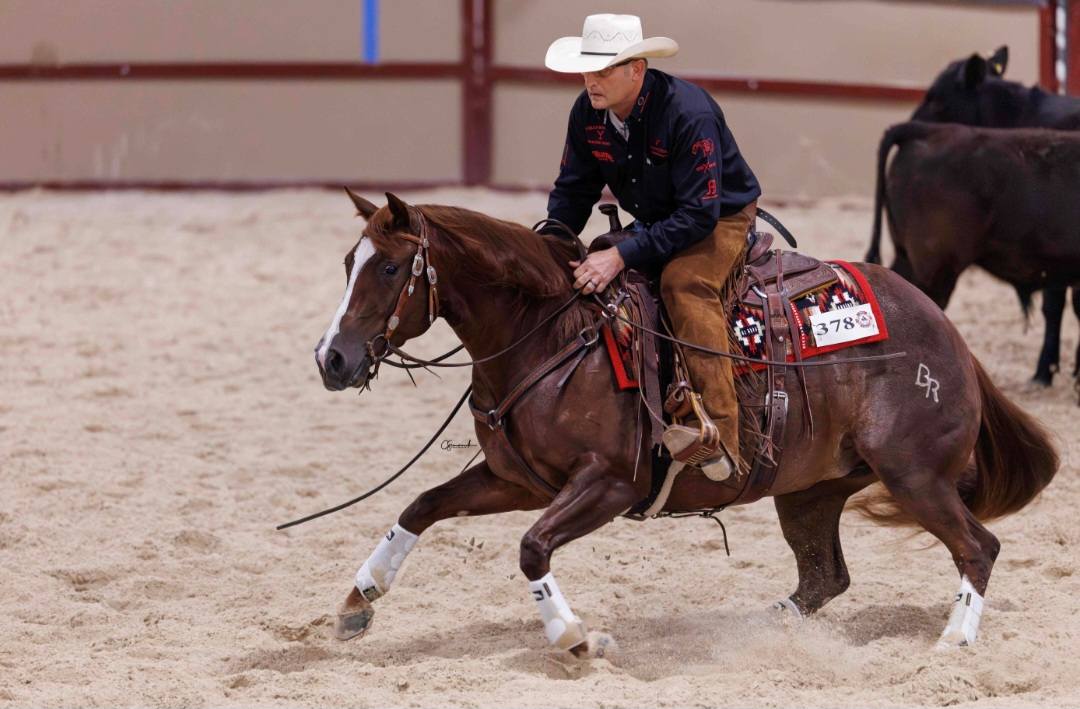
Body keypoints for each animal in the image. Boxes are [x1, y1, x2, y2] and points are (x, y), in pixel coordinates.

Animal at [312, 189, 1058, 656]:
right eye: (347, 262)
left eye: (388, 267)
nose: (332, 358)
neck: (550, 333)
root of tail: (950, 335)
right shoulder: (516, 480)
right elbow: (420, 506)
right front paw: (358, 599)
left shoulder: (607, 484)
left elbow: (531, 547)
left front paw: (575, 639)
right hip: (809, 491)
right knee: (826, 576)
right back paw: (770, 626)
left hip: (914, 475)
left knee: (978, 547)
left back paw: (954, 639)